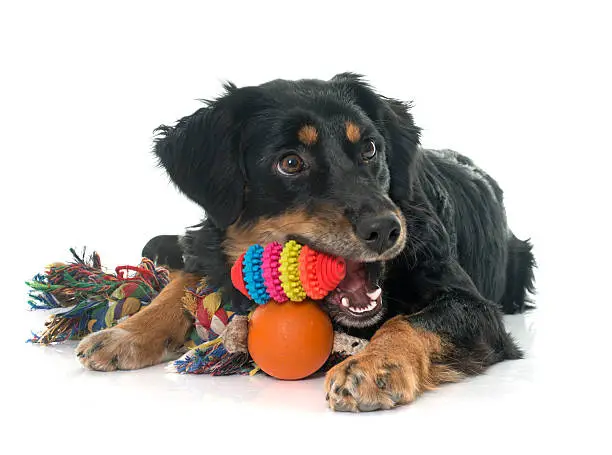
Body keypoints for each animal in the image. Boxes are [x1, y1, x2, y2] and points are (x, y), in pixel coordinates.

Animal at [77, 72, 536, 414]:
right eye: (291, 163)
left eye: (370, 148)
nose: (386, 229)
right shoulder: (212, 248)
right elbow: (186, 282)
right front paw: (127, 331)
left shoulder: (475, 306)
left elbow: (410, 321)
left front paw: (374, 365)